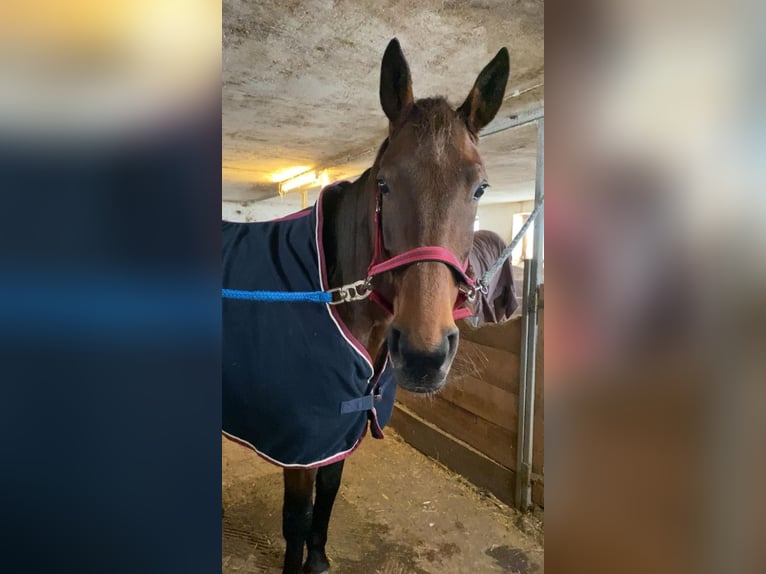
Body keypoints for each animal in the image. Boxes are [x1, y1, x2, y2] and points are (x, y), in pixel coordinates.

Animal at [222, 40, 510, 574]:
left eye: (479, 188)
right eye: (384, 185)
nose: (423, 355)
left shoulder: (340, 428)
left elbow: (330, 492)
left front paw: (318, 560)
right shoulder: (301, 445)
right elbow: (297, 516)